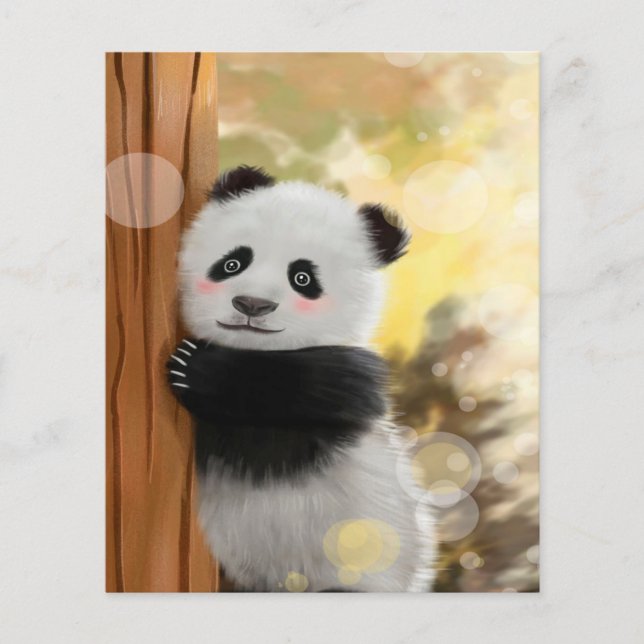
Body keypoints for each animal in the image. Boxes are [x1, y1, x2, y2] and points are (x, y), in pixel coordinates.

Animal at [168, 165, 435, 592]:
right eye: (232, 263)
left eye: (304, 278)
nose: (252, 304)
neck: (253, 348)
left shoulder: (355, 380)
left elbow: (297, 395)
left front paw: (195, 368)